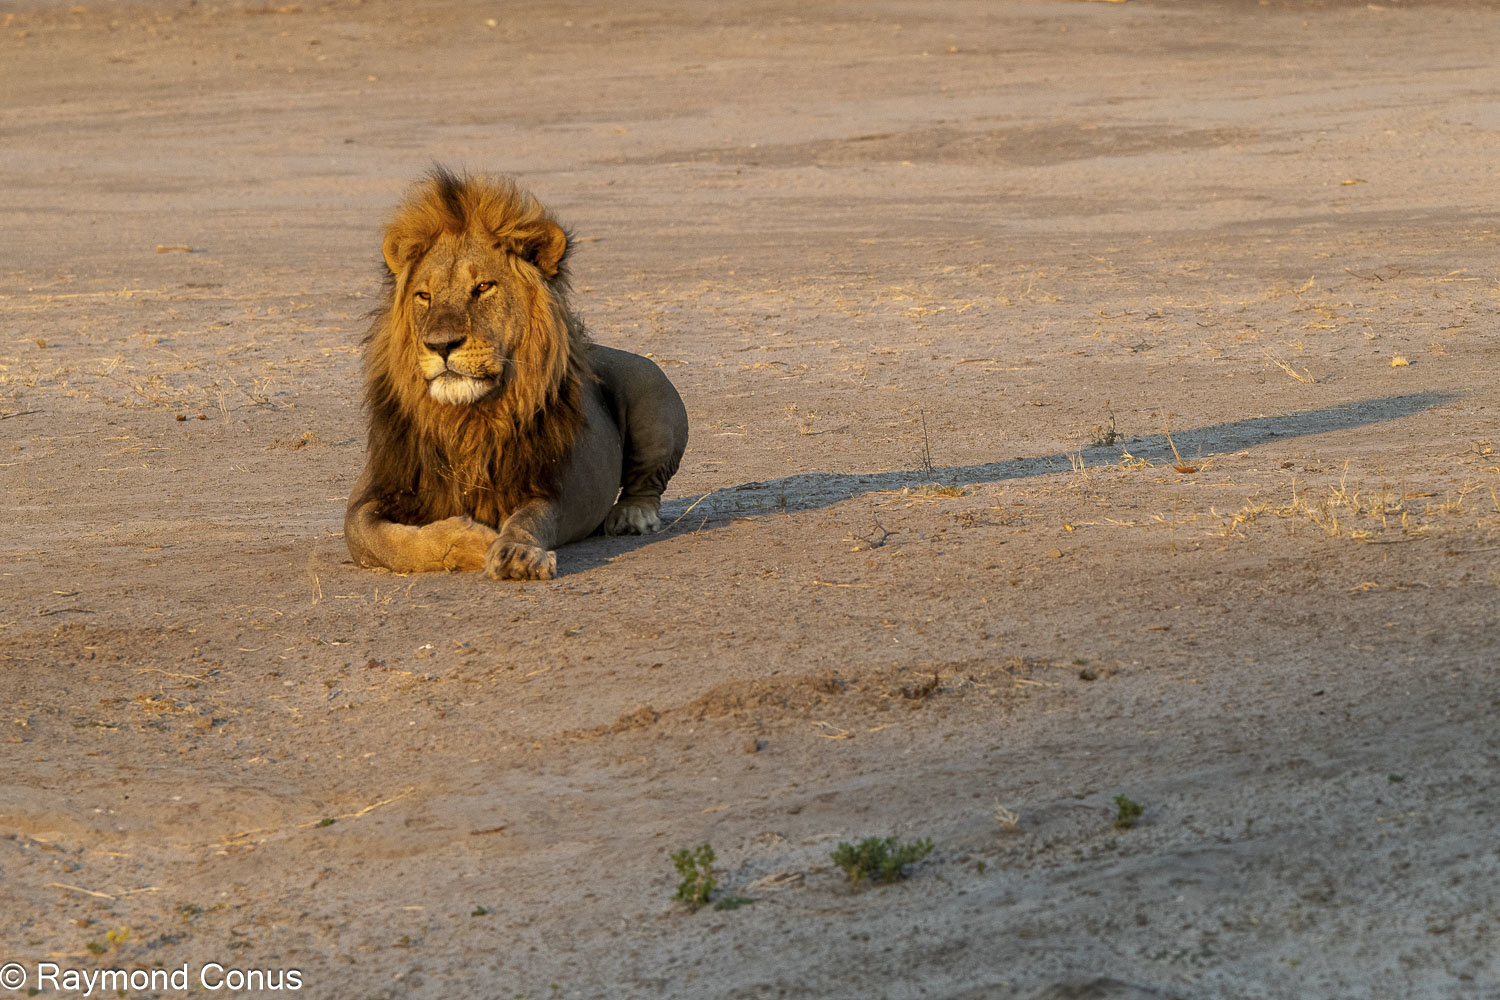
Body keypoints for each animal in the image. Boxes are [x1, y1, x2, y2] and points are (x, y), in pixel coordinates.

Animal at [345, 168, 689, 580]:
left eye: (483, 287)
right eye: (424, 296)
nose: (440, 345)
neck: (466, 419)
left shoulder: (549, 488)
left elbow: (527, 520)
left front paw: (515, 552)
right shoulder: (373, 494)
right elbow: (381, 539)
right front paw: (472, 540)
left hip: (650, 383)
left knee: (647, 484)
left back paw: (631, 516)